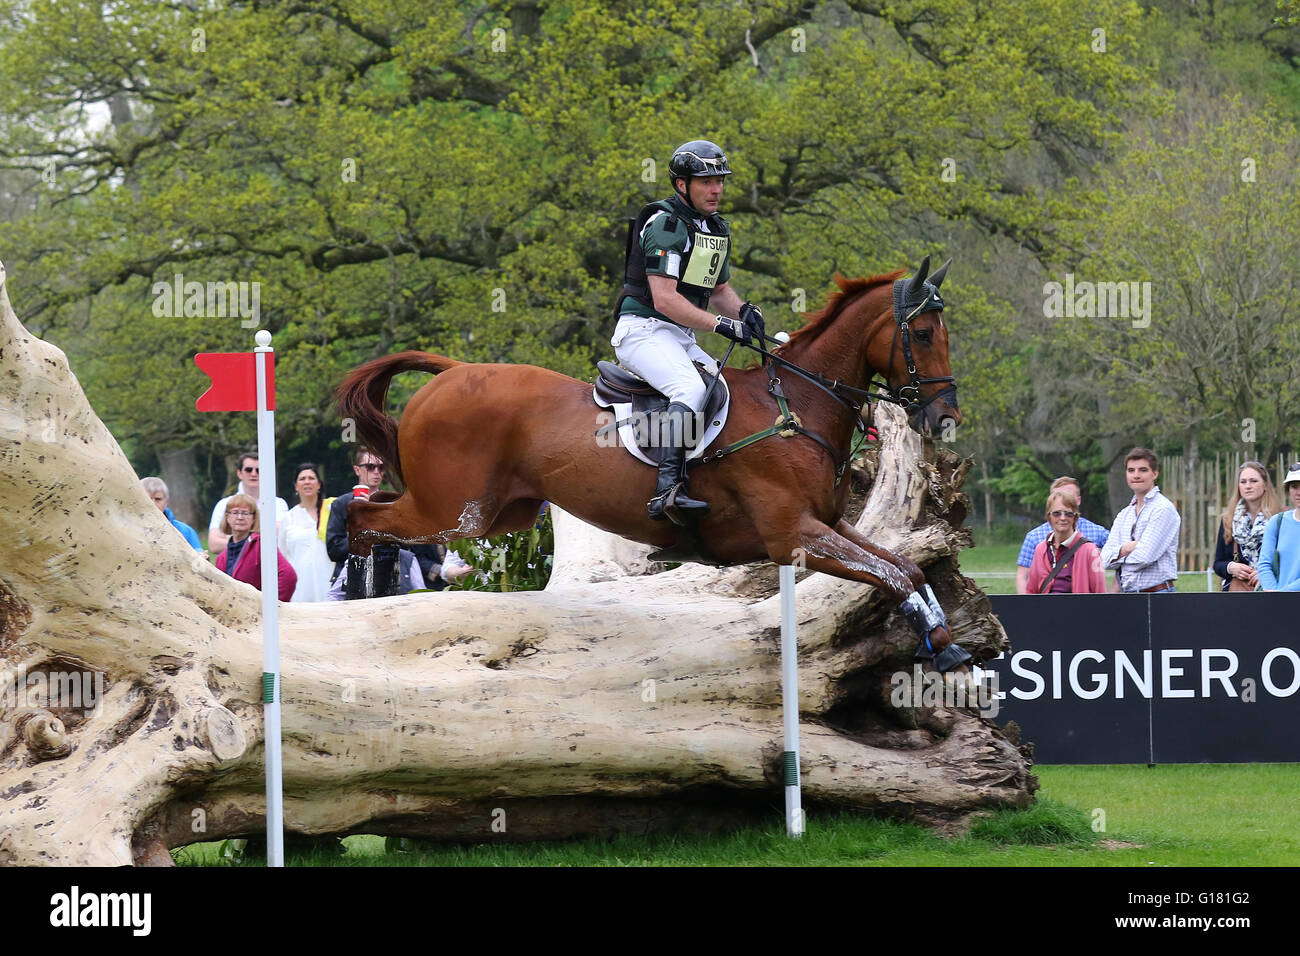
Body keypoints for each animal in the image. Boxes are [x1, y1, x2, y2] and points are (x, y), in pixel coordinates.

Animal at [340, 256, 972, 671]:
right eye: (921, 333)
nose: (945, 416)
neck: (796, 403)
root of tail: (452, 371)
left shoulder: (830, 524)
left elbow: (905, 568)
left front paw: (945, 644)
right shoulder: (792, 534)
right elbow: (893, 573)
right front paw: (941, 648)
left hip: (500, 514)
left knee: (376, 514)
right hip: (457, 513)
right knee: (360, 519)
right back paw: (358, 607)